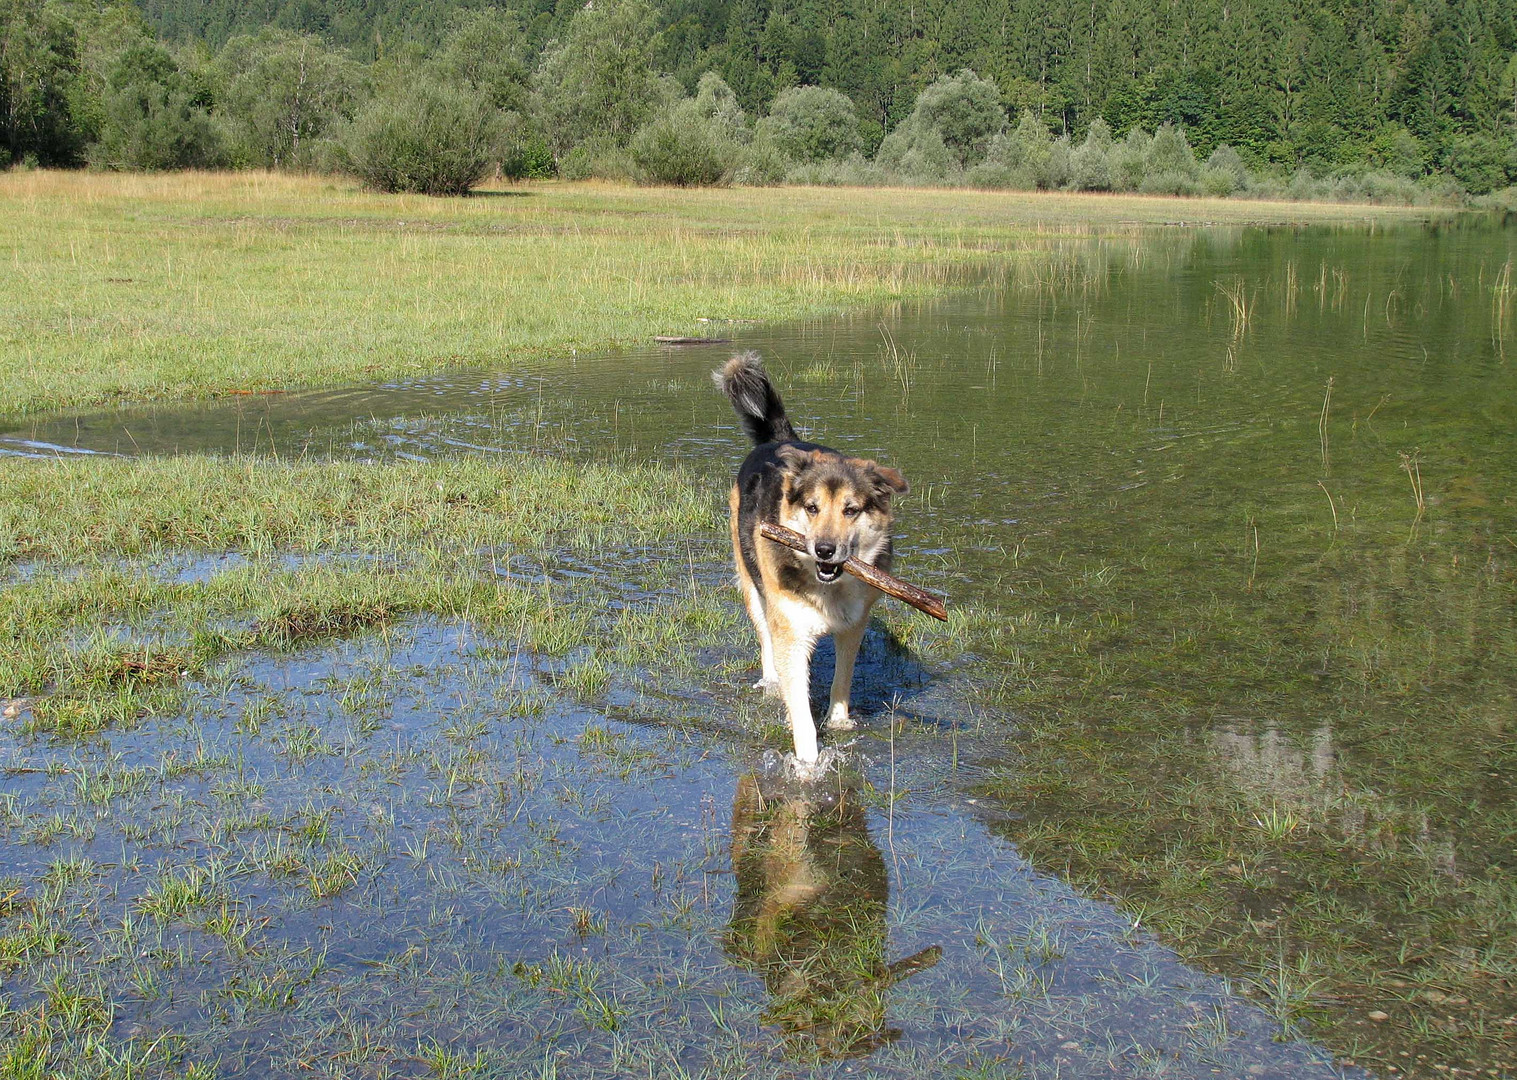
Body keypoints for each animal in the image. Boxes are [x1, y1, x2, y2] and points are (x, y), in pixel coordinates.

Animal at [712, 350, 904, 764]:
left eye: (851, 510)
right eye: (812, 508)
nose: (825, 549)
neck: (828, 590)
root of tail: (781, 441)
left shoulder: (854, 625)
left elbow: (842, 680)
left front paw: (839, 722)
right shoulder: (791, 632)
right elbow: (799, 707)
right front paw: (809, 764)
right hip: (752, 586)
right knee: (766, 639)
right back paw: (771, 681)